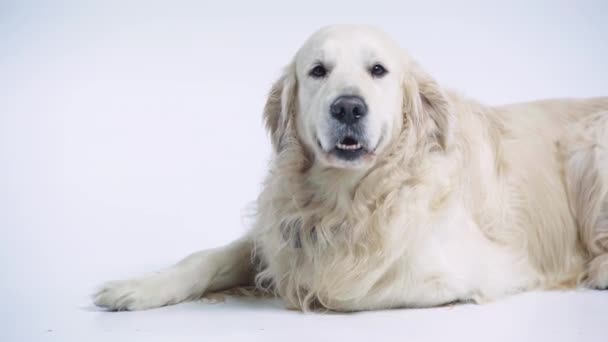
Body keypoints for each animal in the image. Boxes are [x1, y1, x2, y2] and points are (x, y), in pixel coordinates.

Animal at [92, 24, 608, 312]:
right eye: (318, 70)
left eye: (378, 70)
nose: (347, 107)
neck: (349, 197)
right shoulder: (278, 233)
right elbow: (206, 258)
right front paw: (137, 288)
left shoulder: (487, 268)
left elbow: (347, 288)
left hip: (590, 146)